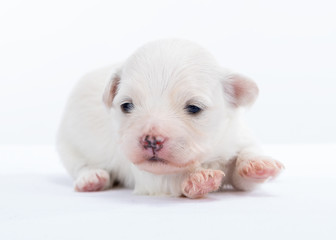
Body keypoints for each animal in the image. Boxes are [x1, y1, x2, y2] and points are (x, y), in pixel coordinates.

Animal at [57, 39, 284, 199]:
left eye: (194, 107)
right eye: (126, 106)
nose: (151, 140)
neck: (207, 155)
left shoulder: (235, 135)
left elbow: (245, 166)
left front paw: (258, 163)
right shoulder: (151, 175)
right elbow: (173, 176)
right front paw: (198, 178)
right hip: (68, 146)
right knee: (79, 166)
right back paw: (92, 178)